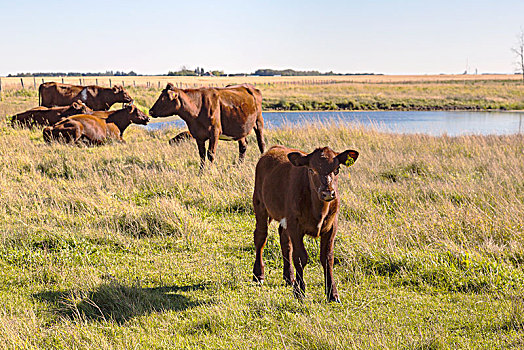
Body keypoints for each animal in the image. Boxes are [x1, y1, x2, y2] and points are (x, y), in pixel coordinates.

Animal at [252, 144, 358, 302]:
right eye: (311, 170)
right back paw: (259, 274)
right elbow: (300, 257)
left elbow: (327, 258)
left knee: (284, 241)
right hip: (260, 205)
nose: (328, 193)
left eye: (337, 169)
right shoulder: (295, 226)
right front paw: (299, 291)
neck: (318, 211)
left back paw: (289, 277)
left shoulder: (331, 226)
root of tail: (274, 148)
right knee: (260, 237)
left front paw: (332, 294)